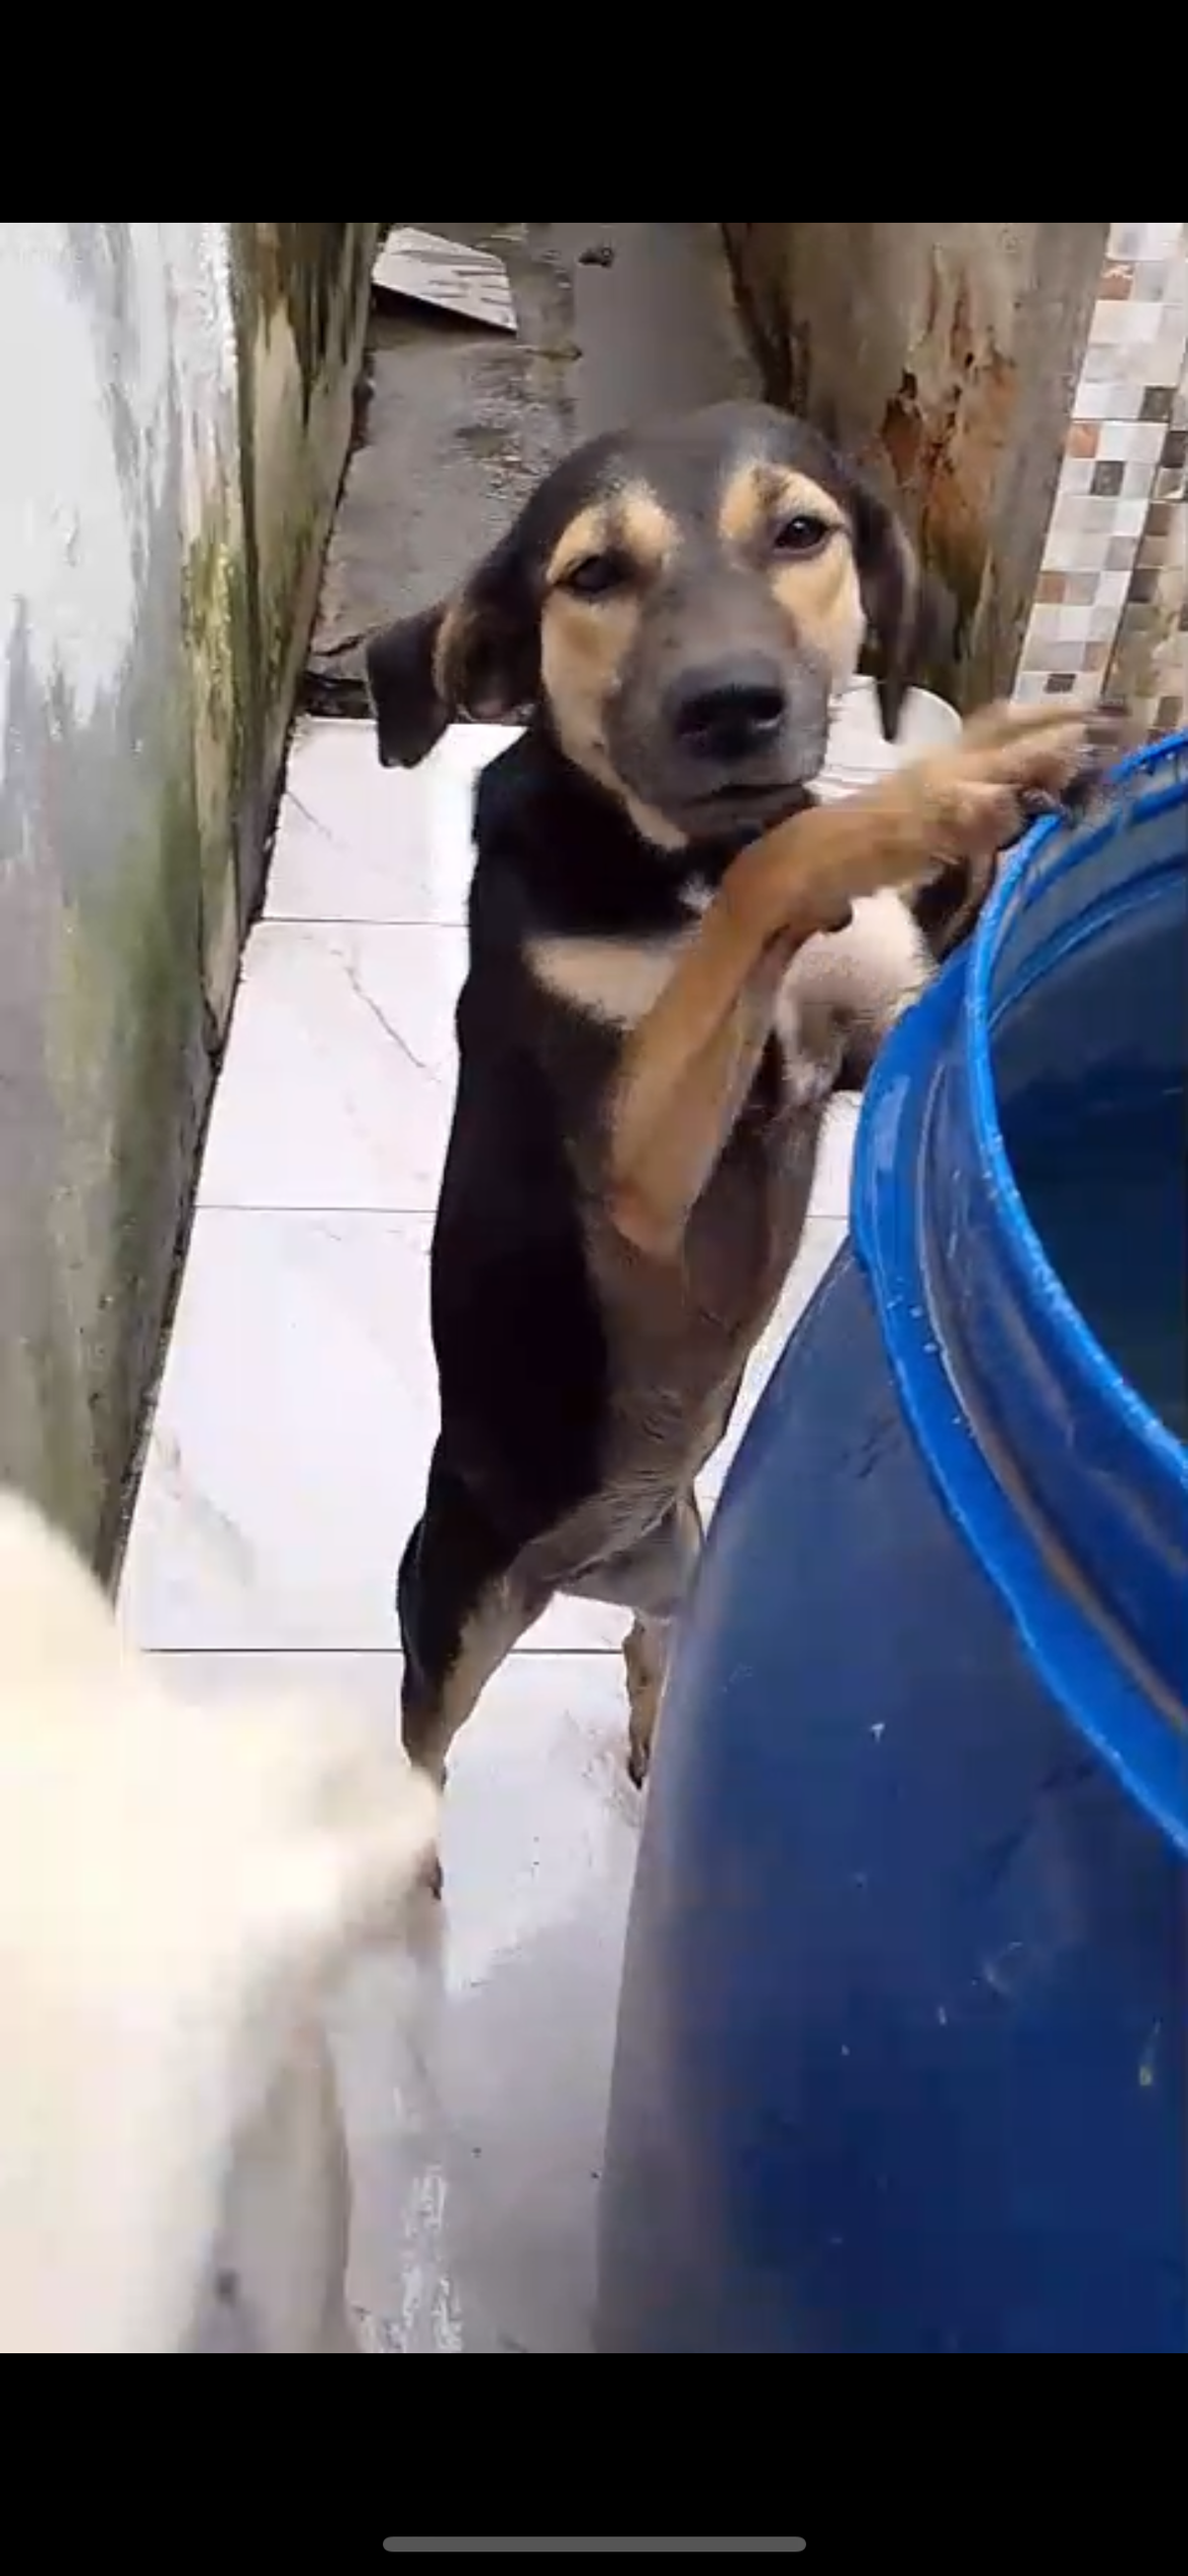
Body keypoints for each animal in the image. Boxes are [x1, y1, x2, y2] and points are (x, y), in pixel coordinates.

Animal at [365, 399, 1115, 1806]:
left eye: (801, 534)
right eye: (593, 574)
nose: (732, 709)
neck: (678, 864)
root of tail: (601, 1557)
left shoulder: (879, 1032)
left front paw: (1004, 752)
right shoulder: (642, 1167)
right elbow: (784, 859)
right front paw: (923, 802)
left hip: (691, 1560)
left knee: (656, 1641)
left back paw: (658, 1731)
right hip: (457, 1602)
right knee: (420, 1746)